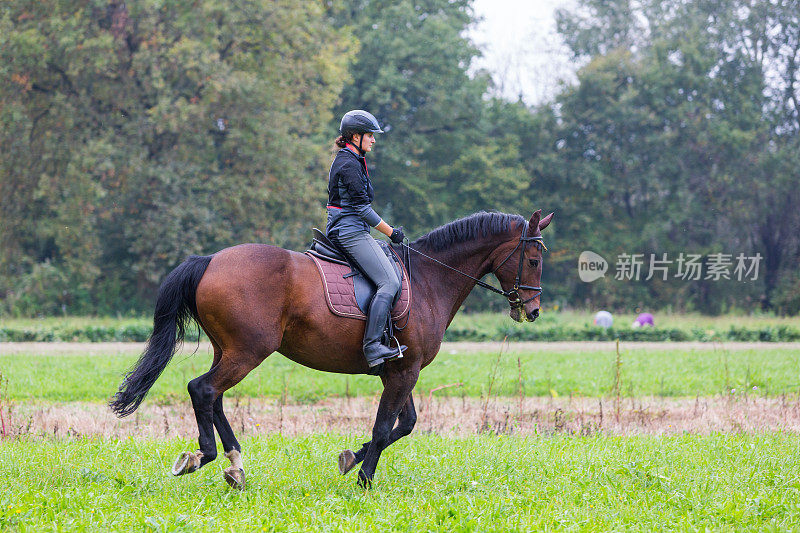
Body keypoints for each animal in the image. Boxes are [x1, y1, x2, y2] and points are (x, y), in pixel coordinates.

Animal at [111, 208, 552, 486]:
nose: (532, 310)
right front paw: (364, 479)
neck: (429, 278)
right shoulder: (404, 372)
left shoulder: (400, 370)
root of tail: (210, 260)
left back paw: (235, 464)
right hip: (247, 352)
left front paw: (352, 459)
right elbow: (383, 427)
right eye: (533, 259)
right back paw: (205, 456)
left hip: (230, 351)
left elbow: (403, 425)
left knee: (213, 396)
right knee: (202, 389)